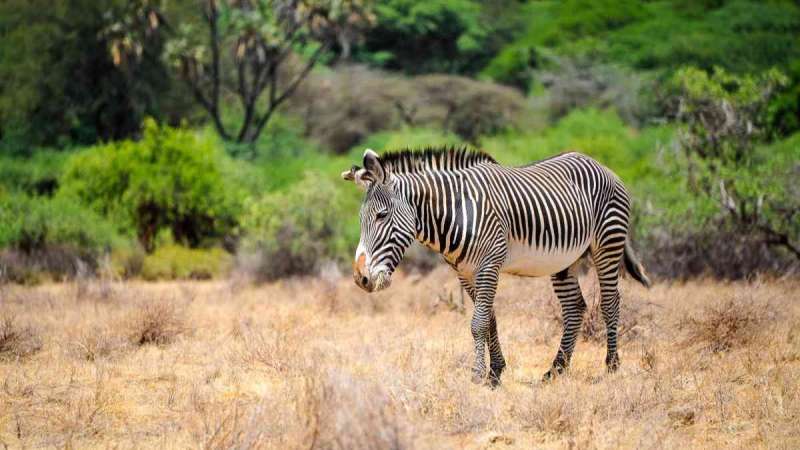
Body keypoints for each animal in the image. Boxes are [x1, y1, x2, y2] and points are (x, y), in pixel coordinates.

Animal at [341, 147, 651, 386]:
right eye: (361, 219)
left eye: (382, 215)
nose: (360, 278)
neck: (455, 211)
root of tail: (600, 164)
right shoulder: (465, 273)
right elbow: (490, 320)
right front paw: (496, 373)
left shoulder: (489, 265)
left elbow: (478, 323)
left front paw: (478, 375)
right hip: (567, 259)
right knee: (575, 308)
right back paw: (556, 370)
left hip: (607, 243)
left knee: (610, 302)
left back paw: (611, 366)